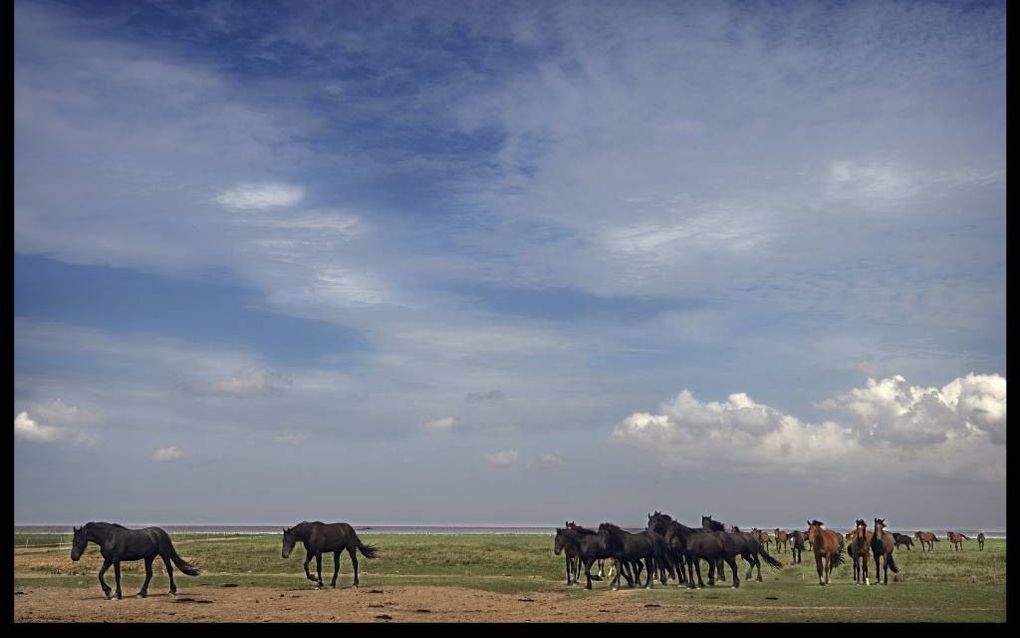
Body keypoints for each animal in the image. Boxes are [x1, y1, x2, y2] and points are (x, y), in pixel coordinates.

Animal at [70, 520, 198, 600]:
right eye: (73, 540)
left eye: (78, 540)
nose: (74, 557)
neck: (108, 537)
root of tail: (161, 532)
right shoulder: (108, 560)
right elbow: (100, 575)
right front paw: (108, 591)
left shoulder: (115, 560)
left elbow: (117, 576)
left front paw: (116, 595)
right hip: (149, 557)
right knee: (149, 574)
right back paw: (141, 594)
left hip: (164, 554)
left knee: (170, 570)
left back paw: (171, 592)